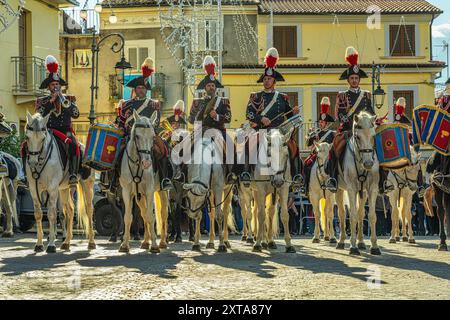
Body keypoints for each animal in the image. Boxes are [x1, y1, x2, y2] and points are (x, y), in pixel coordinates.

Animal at [25, 112, 95, 252]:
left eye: (43, 138)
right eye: (27, 137)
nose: (33, 163)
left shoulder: (52, 188)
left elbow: (52, 214)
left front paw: (51, 244)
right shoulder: (34, 190)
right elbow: (38, 214)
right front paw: (39, 244)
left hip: (87, 184)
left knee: (89, 210)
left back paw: (91, 242)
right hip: (64, 189)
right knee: (70, 210)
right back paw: (66, 242)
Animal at [118, 111, 161, 254]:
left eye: (153, 137)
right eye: (137, 136)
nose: (147, 163)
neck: (137, 163)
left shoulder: (149, 191)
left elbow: (151, 216)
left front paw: (155, 246)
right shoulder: (127, 192)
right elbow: (128, 217)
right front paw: (124, 245)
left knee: (160, 214)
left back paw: (163, 242)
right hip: (139, 197)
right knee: (143, 213)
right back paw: (146, 241)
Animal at [334, 111, 380, 256]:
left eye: (373, 136)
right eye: (358, 137)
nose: (368, 163)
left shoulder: (372, 189)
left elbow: (371, 216)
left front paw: (374, 246)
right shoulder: (351, 189)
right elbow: (352, 216)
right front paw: (353, 246)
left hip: (362, 193)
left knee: (360, 213)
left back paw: (361, 242)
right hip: (339, 190)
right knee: (342, 214)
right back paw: (341, 241)